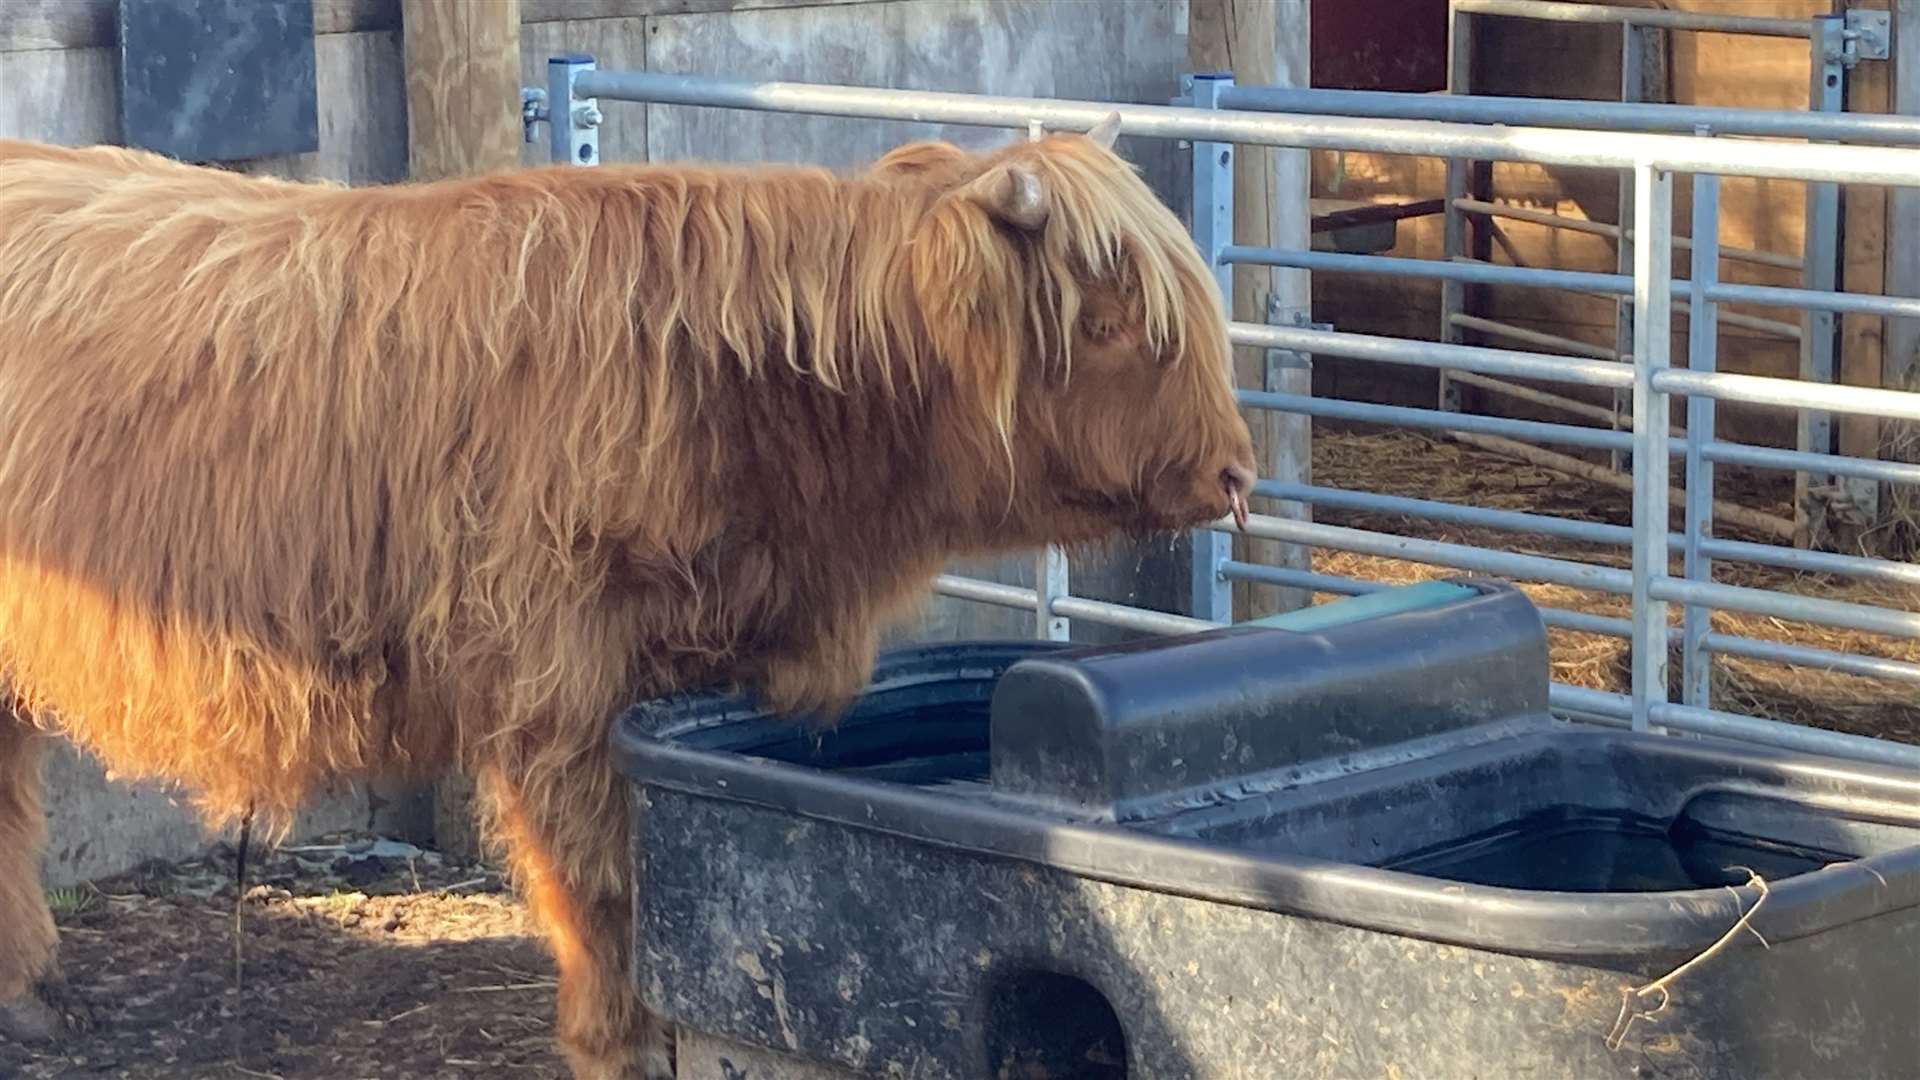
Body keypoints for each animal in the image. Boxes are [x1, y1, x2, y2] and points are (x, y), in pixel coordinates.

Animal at [0, 117, 1259, 1076]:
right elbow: (610, 889)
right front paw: (625, 1045)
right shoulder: (560, 686)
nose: (1237, 473)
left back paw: (28, 991)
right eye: (1110, 325)